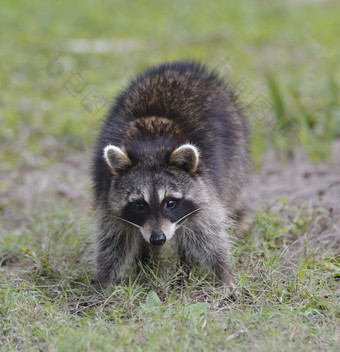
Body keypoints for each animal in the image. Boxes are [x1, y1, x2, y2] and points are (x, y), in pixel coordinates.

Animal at [91, 59, 248, 286]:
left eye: (170, 203)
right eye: (140, 205)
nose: (158, 239)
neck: (150, 148)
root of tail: (183, 67)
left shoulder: (207, 188)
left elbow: (208, 234)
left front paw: (224, 274)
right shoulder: (107, 194)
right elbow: (113, 240)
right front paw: (104, 280)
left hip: (235, 155)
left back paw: (184, 269)